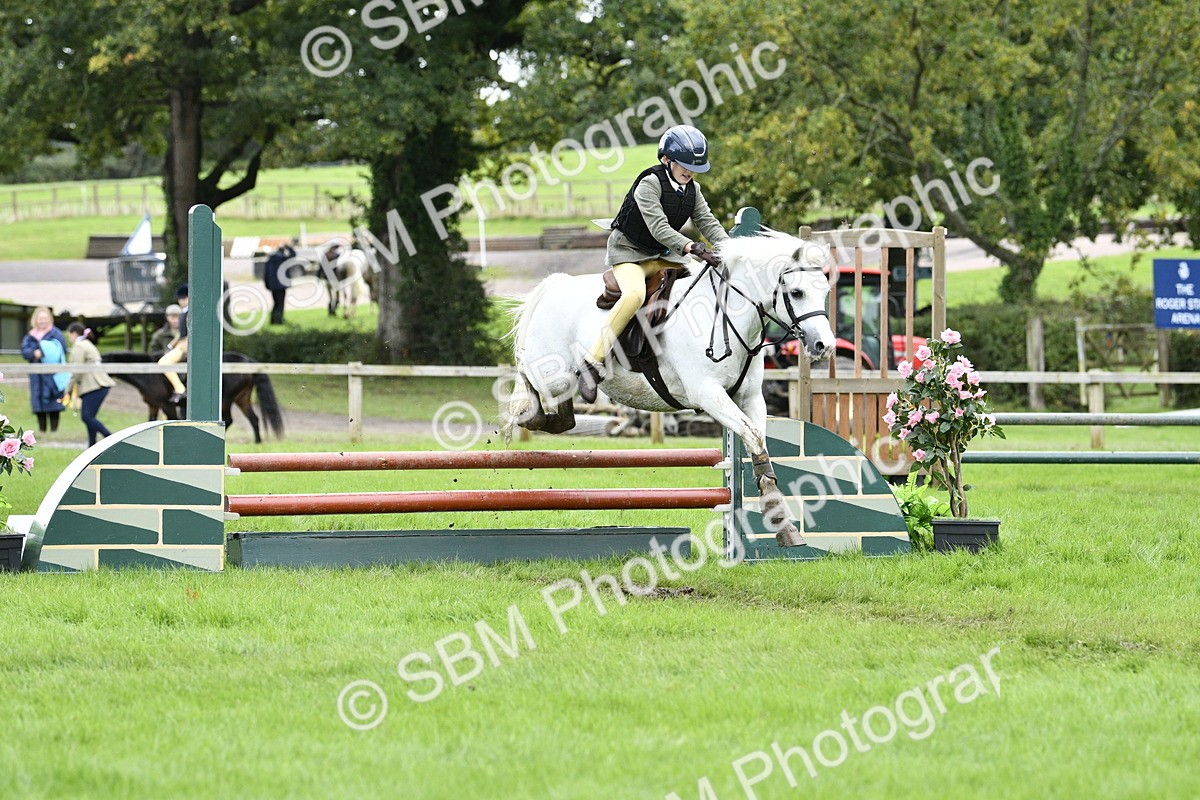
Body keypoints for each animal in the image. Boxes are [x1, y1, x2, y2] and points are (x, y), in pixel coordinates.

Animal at [103, 351, 285, 443]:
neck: (146, 372)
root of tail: (247, 361)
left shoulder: (167, 405)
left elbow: (173, 419)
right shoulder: (153, 405)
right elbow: (150, 421)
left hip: (226, 400)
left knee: (230, 419)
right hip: (242, 398)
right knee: (254, 419)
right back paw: (257, 442)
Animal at [501, 230, 835, 547]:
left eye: (825, 291)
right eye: (797, 292)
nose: (825, 346)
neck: (727, 314)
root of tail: (555, 285)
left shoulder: (750, 398)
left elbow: (758, 443)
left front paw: (785, 526)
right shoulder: (708, 393)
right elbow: (752, 436)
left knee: (564, 414)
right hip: (551, 372)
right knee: (527, 378)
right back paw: (530, 415)